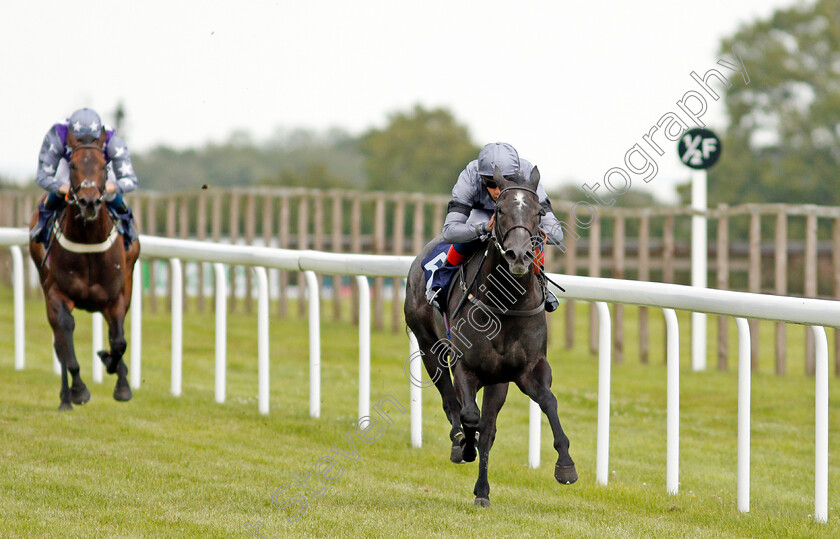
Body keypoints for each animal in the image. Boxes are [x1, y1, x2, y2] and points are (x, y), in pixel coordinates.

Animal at [29, 129, 141, 412]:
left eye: (104, 166)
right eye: (73, 166)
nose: (89, 202)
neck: (89, 241)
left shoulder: (117, 296)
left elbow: (119, 342)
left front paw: (119, 380)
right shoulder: (56, 294)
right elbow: (65, 336)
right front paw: (79, 390)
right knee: (60, 342)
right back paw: (66, 399)